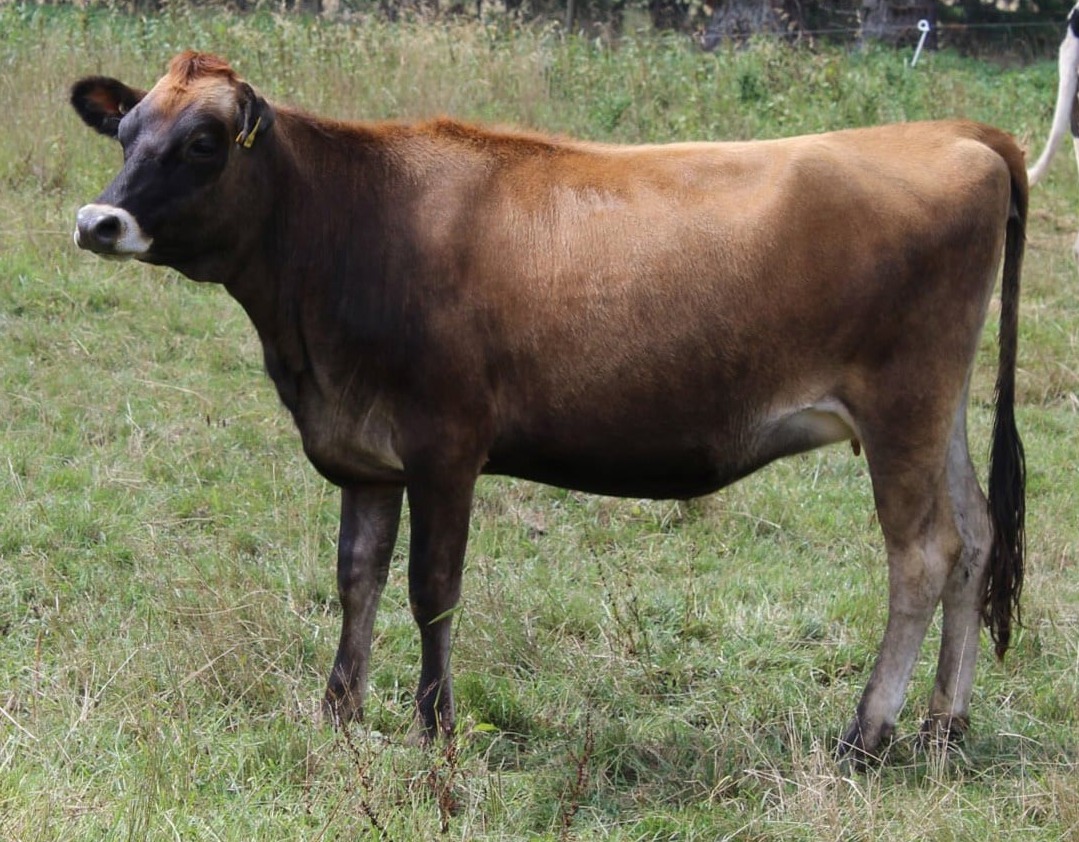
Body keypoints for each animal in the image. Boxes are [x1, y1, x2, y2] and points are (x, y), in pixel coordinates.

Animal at [70, 51, 1027, 764]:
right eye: (125, 131)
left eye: (204, 142)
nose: (96, 222)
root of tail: (954, 131)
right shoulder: (363, 452)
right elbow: (356, 577)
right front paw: (338, 713)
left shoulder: (446, 443)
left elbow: (432, 588)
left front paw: (435, 728)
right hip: (939, 406)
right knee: (976, 534)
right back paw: (944, 726)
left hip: (901, 401)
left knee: (923, 553)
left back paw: (866, 733)